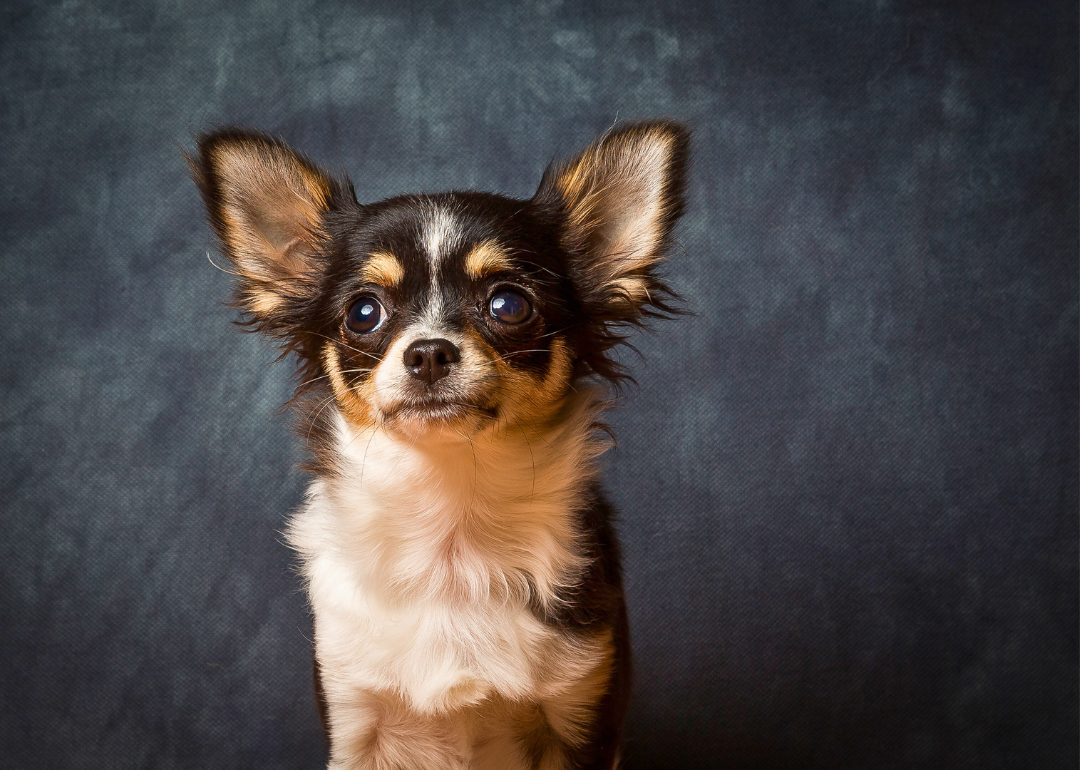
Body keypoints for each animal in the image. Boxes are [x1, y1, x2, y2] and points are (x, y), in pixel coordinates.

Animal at [190, 119, 686, 768]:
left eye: (509, 304)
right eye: (364, 313)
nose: (428, 351)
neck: (452, 523)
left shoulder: (584, 714)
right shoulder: (354, 719)